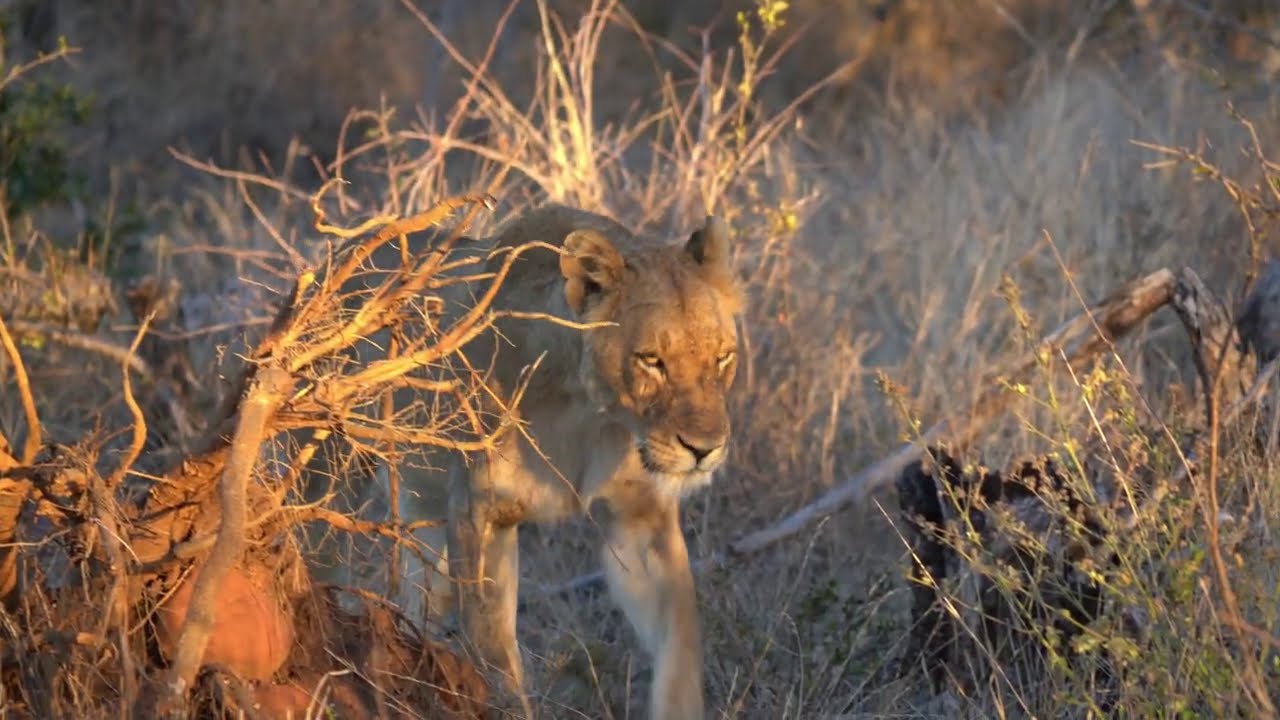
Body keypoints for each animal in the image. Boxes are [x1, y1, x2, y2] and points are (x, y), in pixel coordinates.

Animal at [302, 203, 743, 720]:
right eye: (651, 360)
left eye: (723, 358)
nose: (705, 448)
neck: (587, 410)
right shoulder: (482, 512)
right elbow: (495, 654)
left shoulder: (640, 518)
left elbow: (682, 639)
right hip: (328, 479)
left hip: (423, 503)